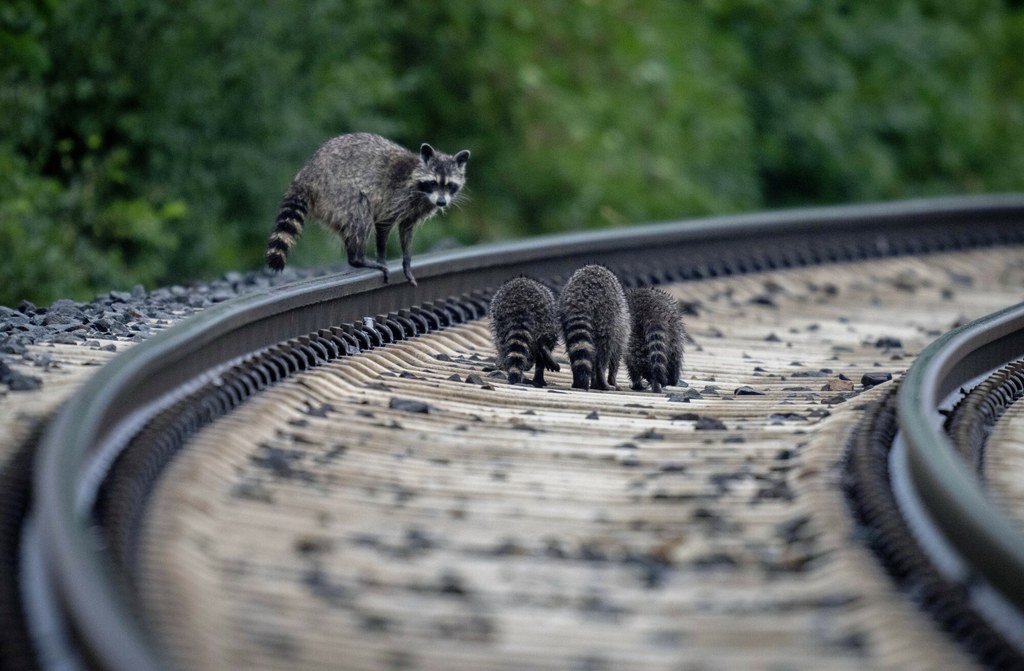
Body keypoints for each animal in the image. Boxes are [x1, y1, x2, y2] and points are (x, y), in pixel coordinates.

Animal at [266, 134, 468, 286]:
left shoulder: (413, 210)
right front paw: (382, 257)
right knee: (361, 216)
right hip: (337, 191)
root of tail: (305, 175)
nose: (441, 202)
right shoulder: (395, 198)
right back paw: (358, 259)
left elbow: (406, 229)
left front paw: (407, 261)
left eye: (450, 185)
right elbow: (383, 225)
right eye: (433, 182)